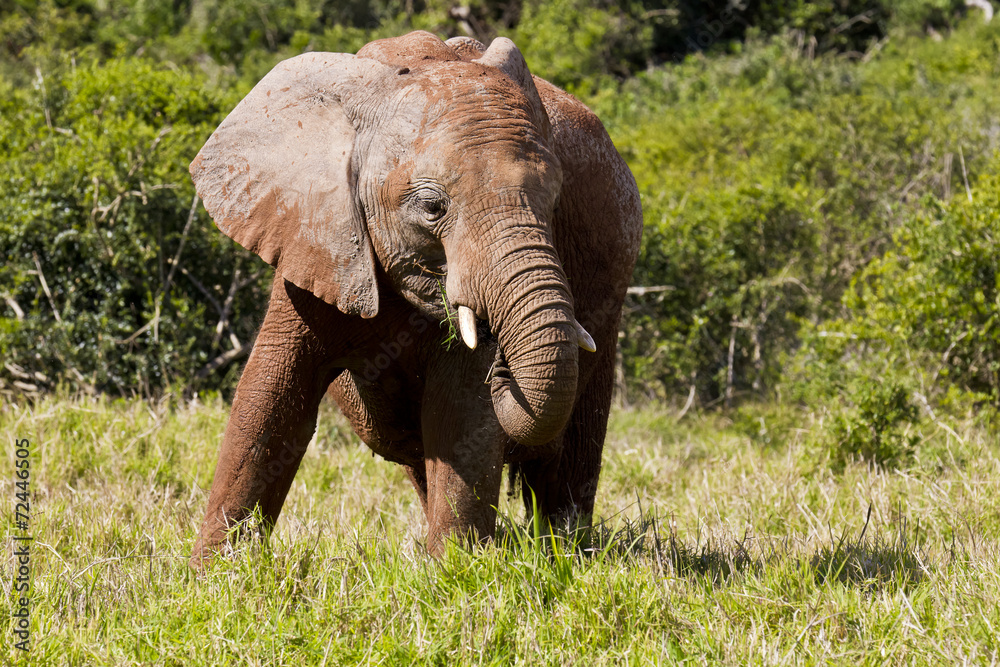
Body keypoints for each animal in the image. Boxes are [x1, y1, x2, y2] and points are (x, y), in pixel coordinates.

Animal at [188, 28, 640, 568]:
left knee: (571, 450)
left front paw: (458, 572)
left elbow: (462, 411)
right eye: (431, 207)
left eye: (555, 203)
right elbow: (271, 398)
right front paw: (214, 574)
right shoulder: (315, 231)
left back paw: (564, 555)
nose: (504, 364)